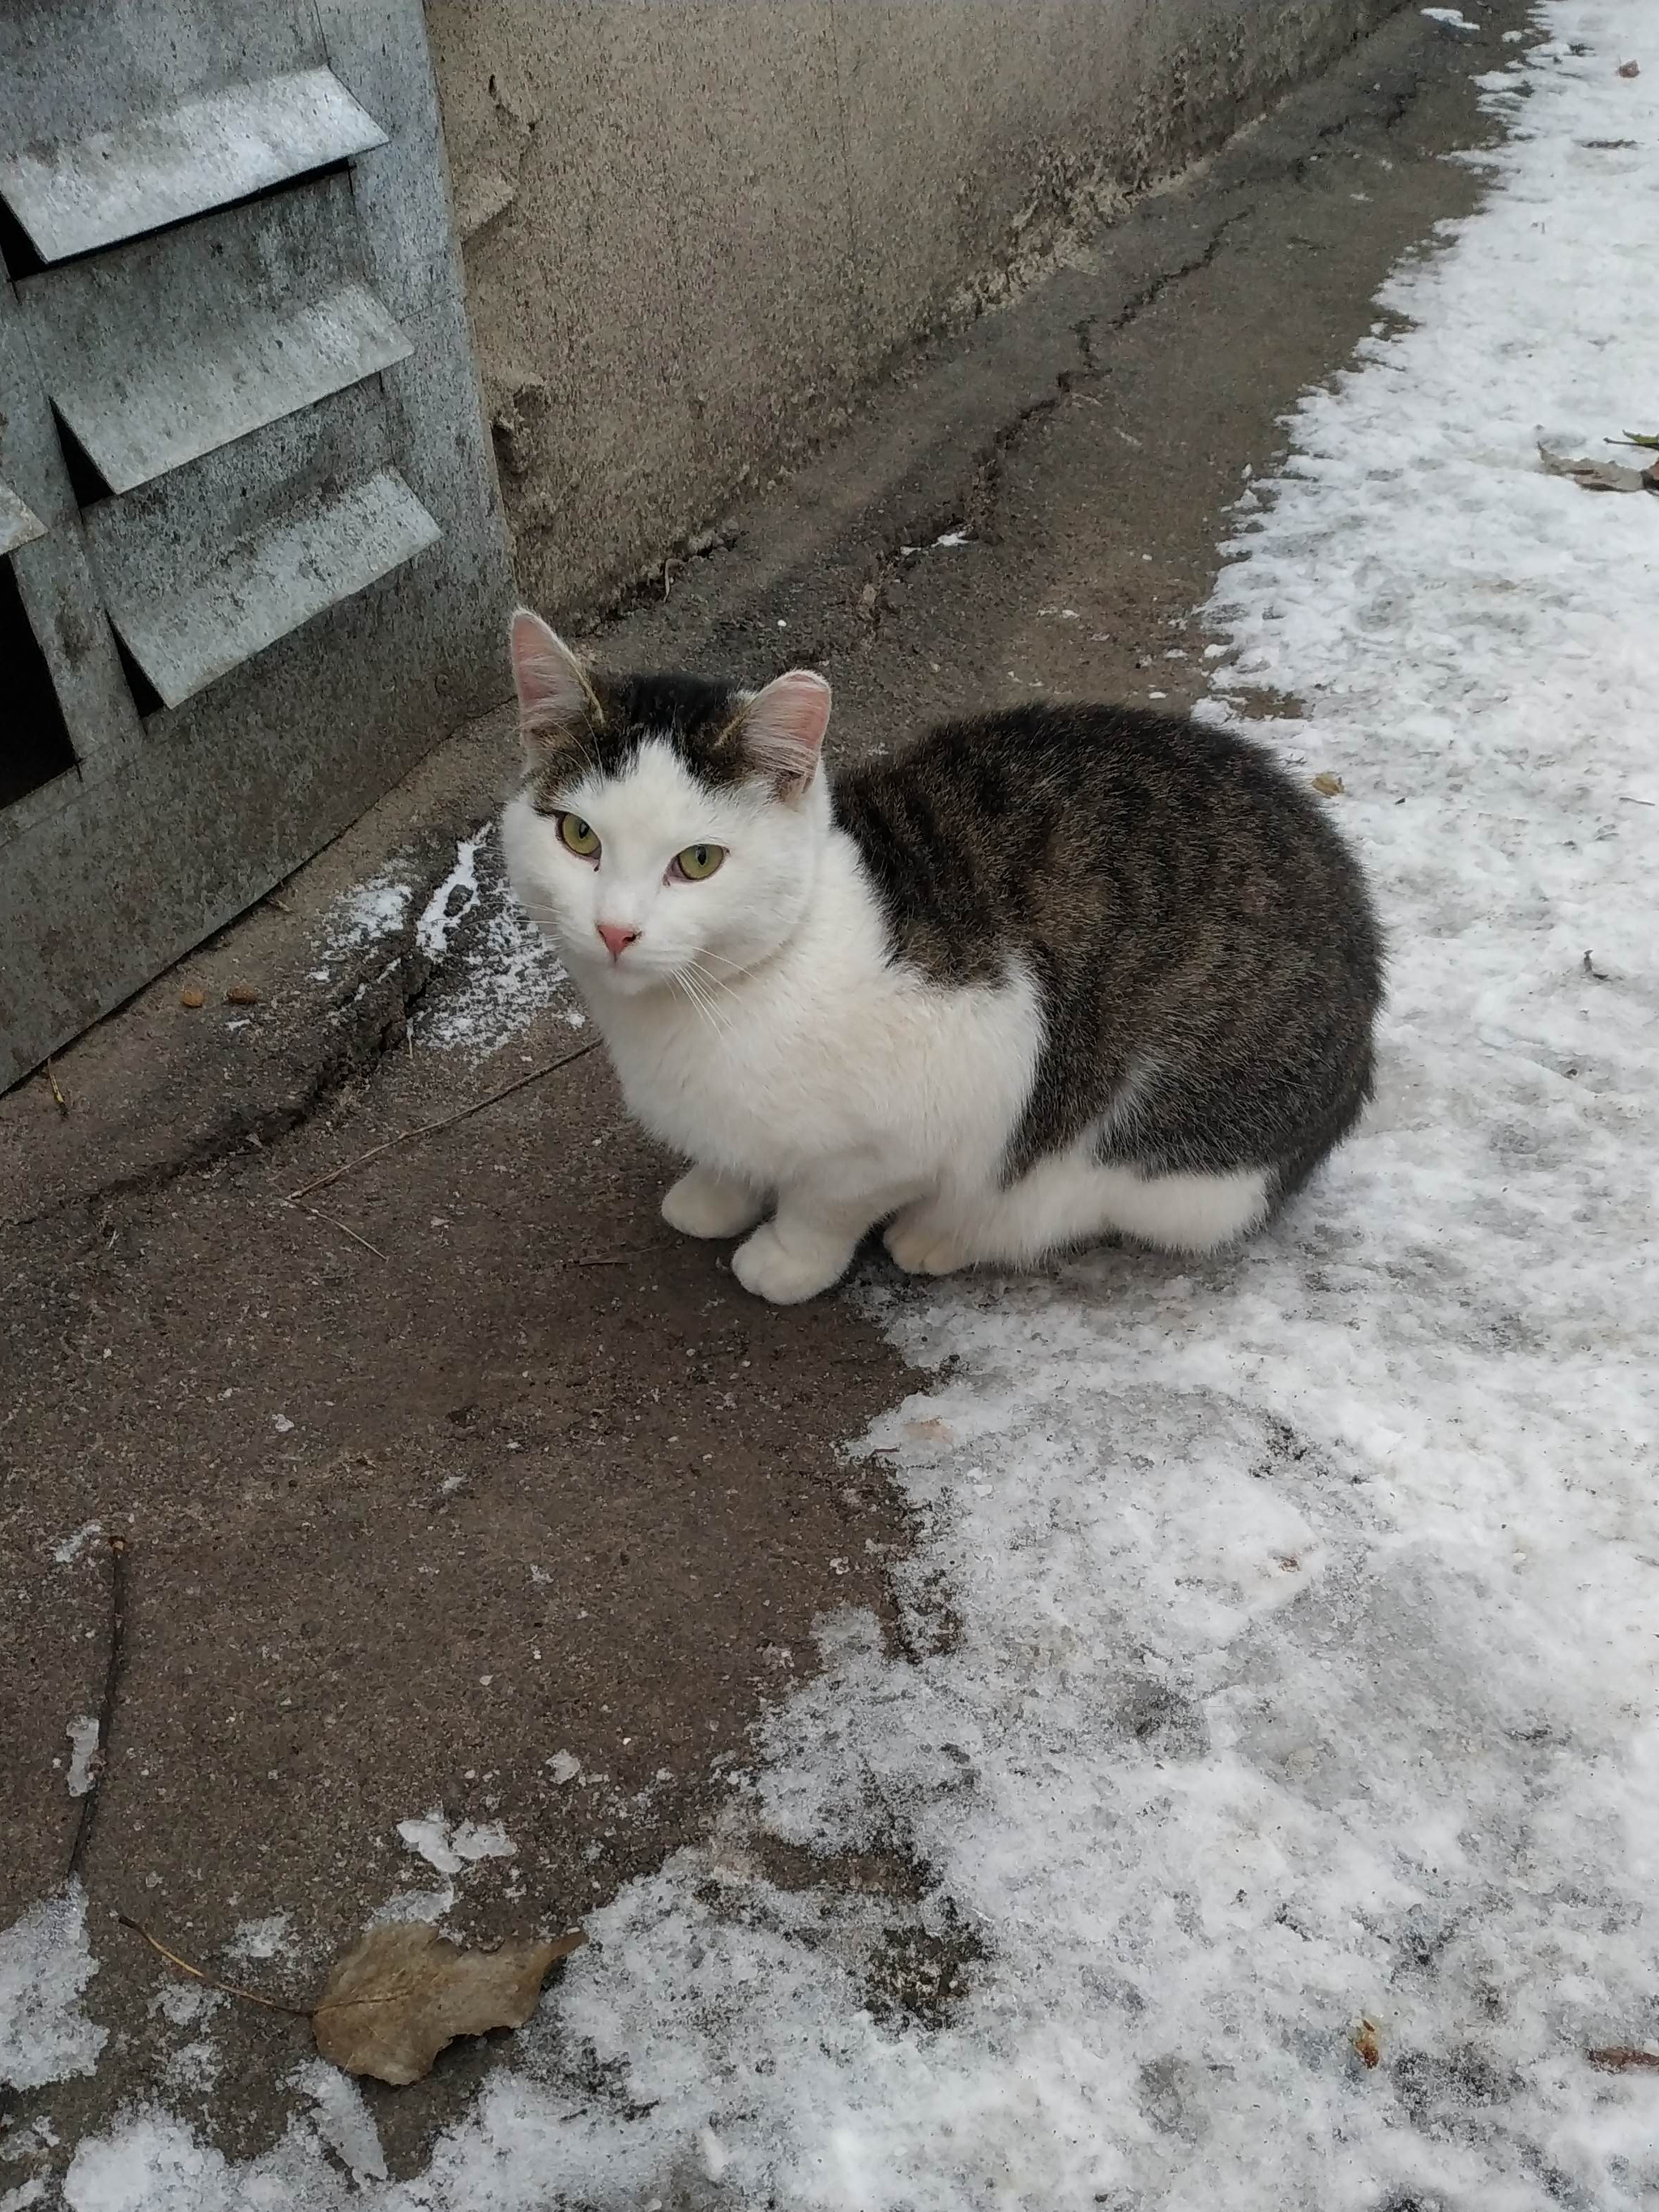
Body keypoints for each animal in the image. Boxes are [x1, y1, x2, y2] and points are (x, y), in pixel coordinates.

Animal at [500, 606, 1380, 1300]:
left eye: (699, 860)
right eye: (578, 836)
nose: (616, 929)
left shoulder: (934, 1098)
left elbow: (827, 1204)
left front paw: (786, 1259)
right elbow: (736, 1159)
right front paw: (715, 1193)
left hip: (1165, 1156)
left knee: (1060, 1200)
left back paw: (946, 1234)